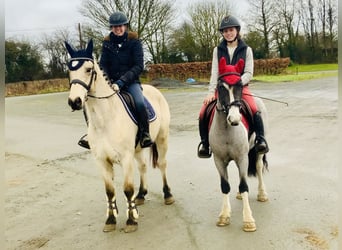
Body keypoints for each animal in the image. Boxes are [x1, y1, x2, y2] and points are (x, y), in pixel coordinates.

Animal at [65, 39, 175, 232]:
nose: (75, 101)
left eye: (88, 69)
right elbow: (110, 191)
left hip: (162, 139)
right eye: (69, 70)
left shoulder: (125, 158)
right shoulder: (102, 160)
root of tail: (153, 89)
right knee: (143, 167)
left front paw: (131, 220)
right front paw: (110, 220)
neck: (105, 119)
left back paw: (167, 194)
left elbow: (127, 189)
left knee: (162, 164)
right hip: (138, 149)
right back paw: (141, 195)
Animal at [210, 57, 268, 231]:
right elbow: (225, 186)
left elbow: (244, 186)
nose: (234, 119)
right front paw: (224, 216)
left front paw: (248, 220)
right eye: (220, 87)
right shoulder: (218, 160)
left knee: (258, 167)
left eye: (240, 85)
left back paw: (262, 194)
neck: (227, 130)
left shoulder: (242, 158)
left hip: (257, 151)